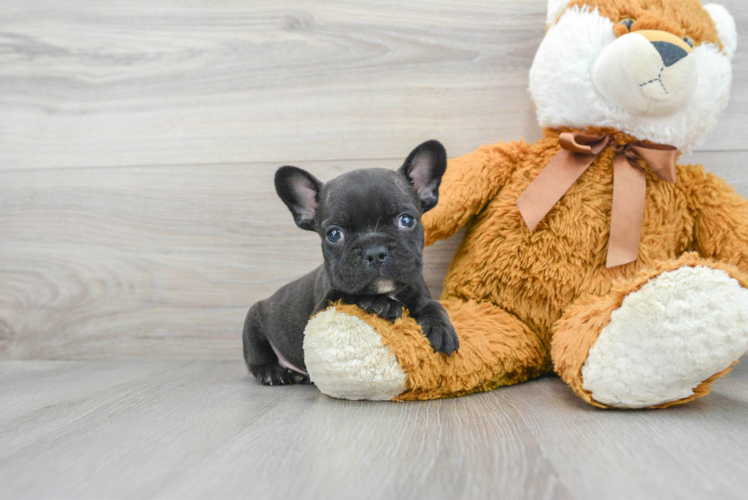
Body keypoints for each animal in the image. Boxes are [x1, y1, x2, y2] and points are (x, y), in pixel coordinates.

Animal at [243, 141, 458, 386]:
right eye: (334, 234)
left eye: (406, 220)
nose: (374, 251)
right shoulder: (322, 309)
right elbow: (350, 295)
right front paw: (382, 303)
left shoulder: (421, 293)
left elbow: (435, 305)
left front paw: (441, 329)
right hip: (253, 321)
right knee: (256, 358)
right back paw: (273, 371)